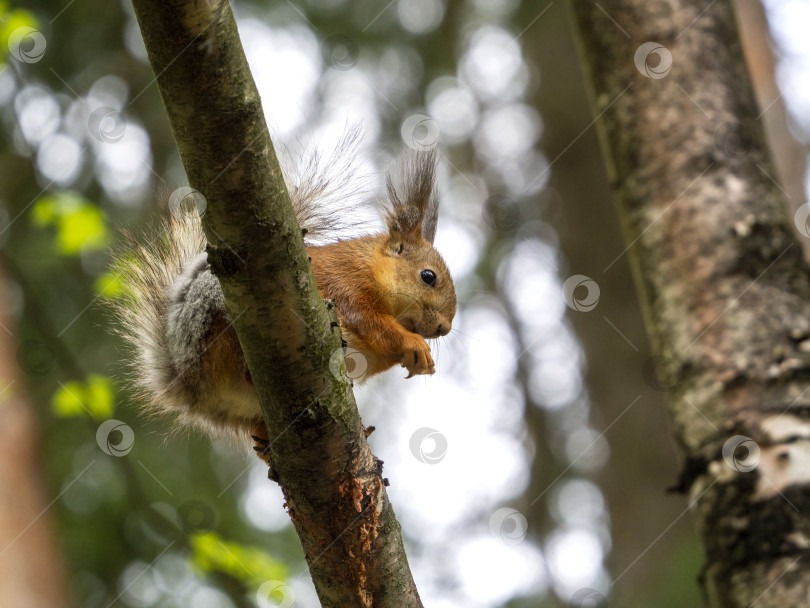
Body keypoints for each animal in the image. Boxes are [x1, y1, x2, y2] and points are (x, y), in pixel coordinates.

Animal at [109, 137, 454, 452]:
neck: (371, 266)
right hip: (214, 315)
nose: (444, 329)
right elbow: (371, 322)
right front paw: (415, 345)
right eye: (428, 276)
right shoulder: (346, 285)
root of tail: (186, 381)